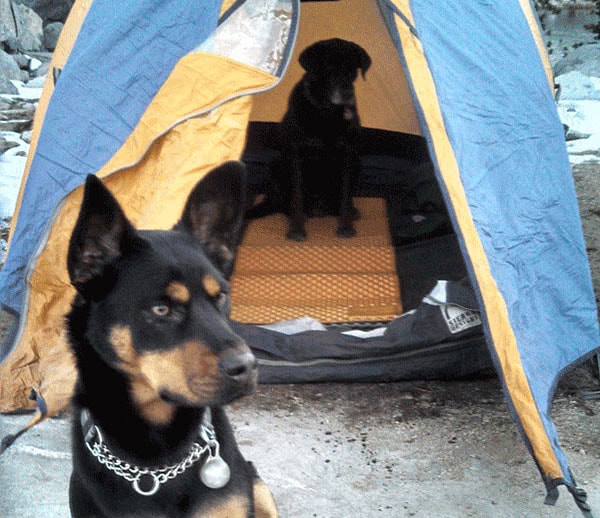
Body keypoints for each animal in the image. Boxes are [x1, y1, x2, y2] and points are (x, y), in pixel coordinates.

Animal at [245, 37, 370, 243]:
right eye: (329, 67)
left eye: (353, 69)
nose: (347, 94)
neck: (326, 114)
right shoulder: (297, 157)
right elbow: (297, 197)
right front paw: (296, 230)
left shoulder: (348, 156)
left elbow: (345, 196)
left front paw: (346, 226)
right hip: (274, 165)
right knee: (284, 204)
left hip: (358, 163)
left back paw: (351, 211)